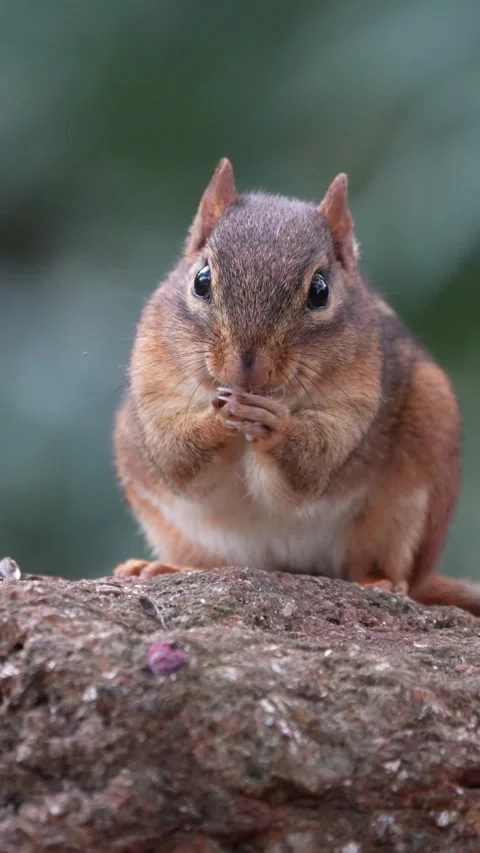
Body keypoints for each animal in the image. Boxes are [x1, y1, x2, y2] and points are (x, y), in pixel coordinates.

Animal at [113, 158, 480, 616]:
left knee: (395, 570)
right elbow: (176, 454)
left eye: (320, 291)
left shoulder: (356, 400)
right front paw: (218, 418)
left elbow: (315, 461)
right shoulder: (154, 388)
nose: (247, 369)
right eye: (201, 280)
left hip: (416, 480)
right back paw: (166, 568)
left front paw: (273, 422)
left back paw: (380, 581)